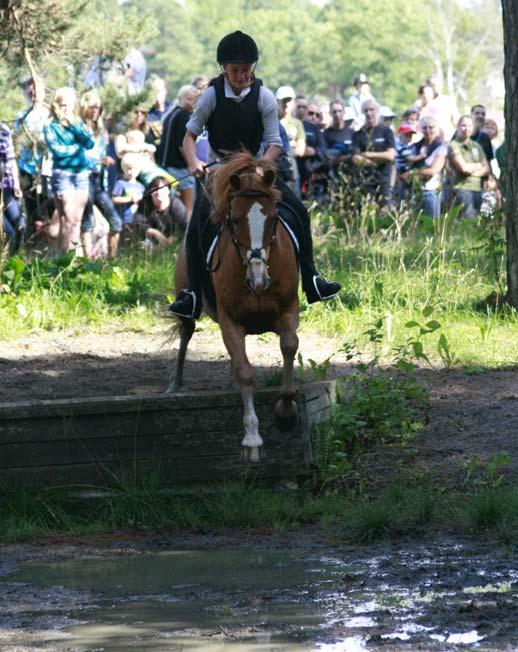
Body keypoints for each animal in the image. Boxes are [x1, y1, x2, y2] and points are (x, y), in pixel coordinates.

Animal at [171, 152, 300, 464]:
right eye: (235, 219)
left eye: (274, 218)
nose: (258, 279)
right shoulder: (231, 321)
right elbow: (245, 371)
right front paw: (252, 438)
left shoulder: (288, 311)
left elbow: (289, 346)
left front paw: (286, 414)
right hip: (186, 297)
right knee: (185, 333)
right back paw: (175, 384)